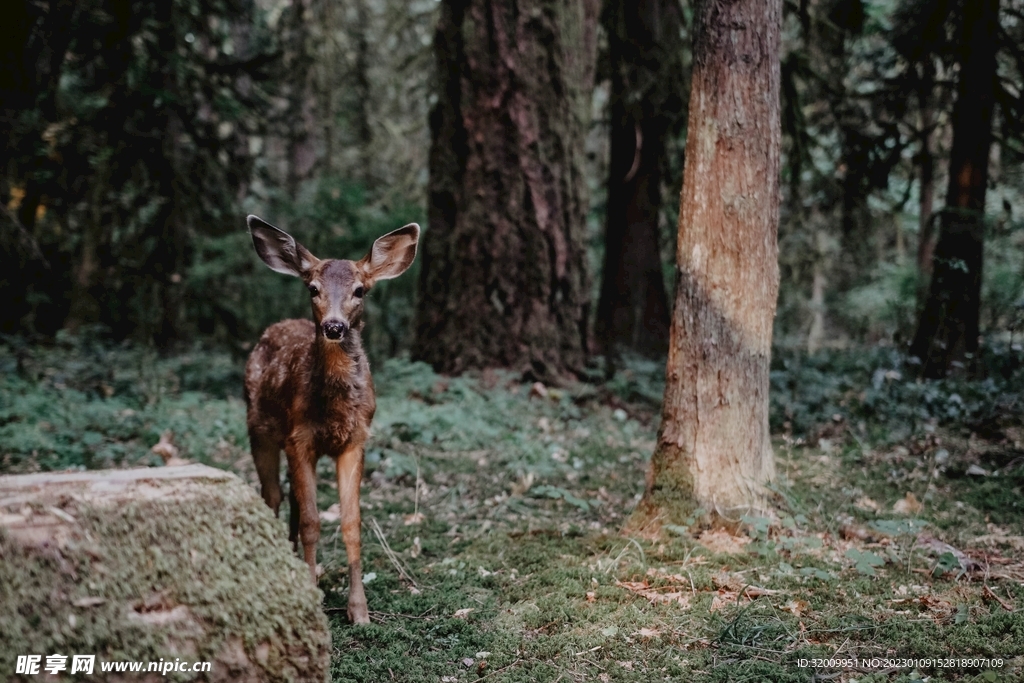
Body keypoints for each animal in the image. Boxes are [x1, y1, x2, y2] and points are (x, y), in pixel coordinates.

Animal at [244, 214, 419, 625]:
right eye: (313, 288)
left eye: (360, 290)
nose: (335, 326)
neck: (335, 410)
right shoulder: (299, 438)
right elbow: (311, 521)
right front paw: (312, 596)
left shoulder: (356, 439)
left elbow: (351, 523)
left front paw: (360, 610)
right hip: (259, 430)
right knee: (273, 497)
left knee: (289, 499)